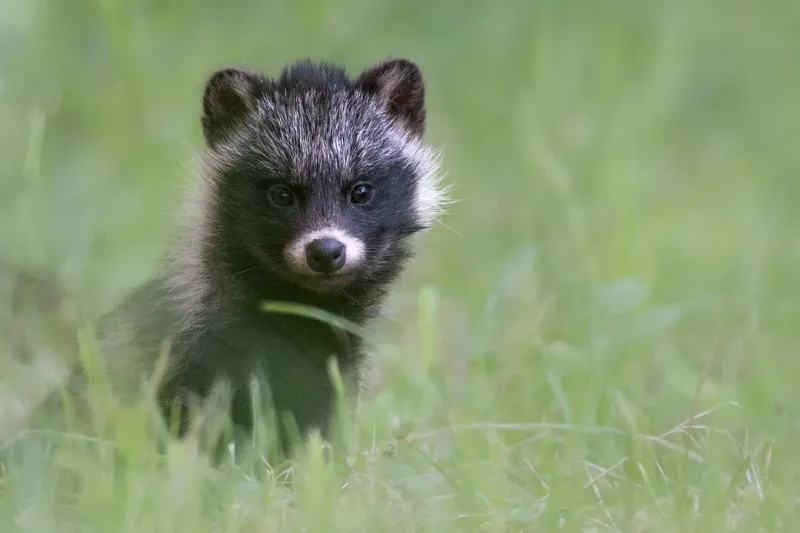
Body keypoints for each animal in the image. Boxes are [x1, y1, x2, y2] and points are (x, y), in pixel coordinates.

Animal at [84, 58, 447, 457]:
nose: (325, 251)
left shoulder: (333, 369)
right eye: (282, 194)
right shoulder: (191, 357)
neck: (304, 310)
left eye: (361, 191)